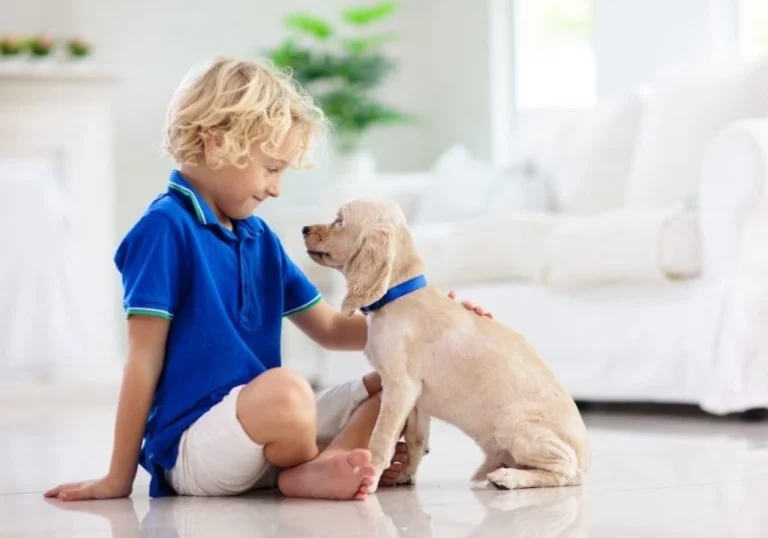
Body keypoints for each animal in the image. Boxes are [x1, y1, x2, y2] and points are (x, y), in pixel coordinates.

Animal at [304, 198, 592, 490]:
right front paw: (405, 475)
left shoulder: (400, 387)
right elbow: (416, 438)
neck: (398, 295)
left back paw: (509, 477)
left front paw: (369, 476)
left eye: (340, 221)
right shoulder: (417, 396)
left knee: (564, 471)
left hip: (517, 428)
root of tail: (586, 462)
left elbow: (381, 439)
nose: (304, 229)